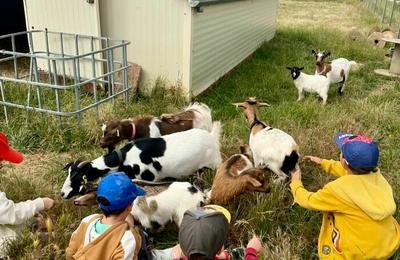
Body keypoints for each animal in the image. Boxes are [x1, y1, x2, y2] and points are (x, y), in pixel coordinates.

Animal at [61, 123, 222, 199]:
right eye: (68, 173)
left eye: (76, 176)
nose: (62, 194)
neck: (124, 158)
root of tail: (211, 136)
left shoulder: (149, 179)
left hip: (215, 164)